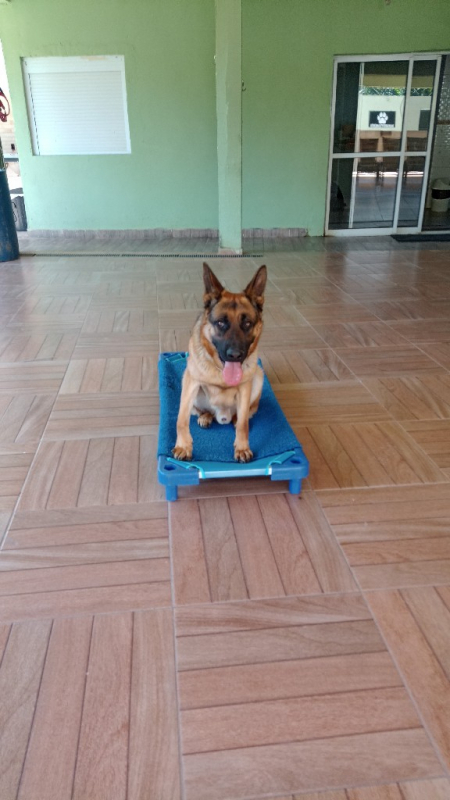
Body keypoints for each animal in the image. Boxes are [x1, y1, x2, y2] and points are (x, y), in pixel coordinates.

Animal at [173, 262, 268, 462]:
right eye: (221, 323)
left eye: (247, 323)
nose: (235, 355)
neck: (219, 370)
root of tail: (222, 416)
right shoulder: (191, 382)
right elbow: (181, 419)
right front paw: (183, 446)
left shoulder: (245, 387)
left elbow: (243, 424)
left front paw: (242, 447)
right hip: (188, 383)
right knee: (201, 411)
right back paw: (206, 416)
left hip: (258, 376)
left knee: (242, 416)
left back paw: (234, 419)